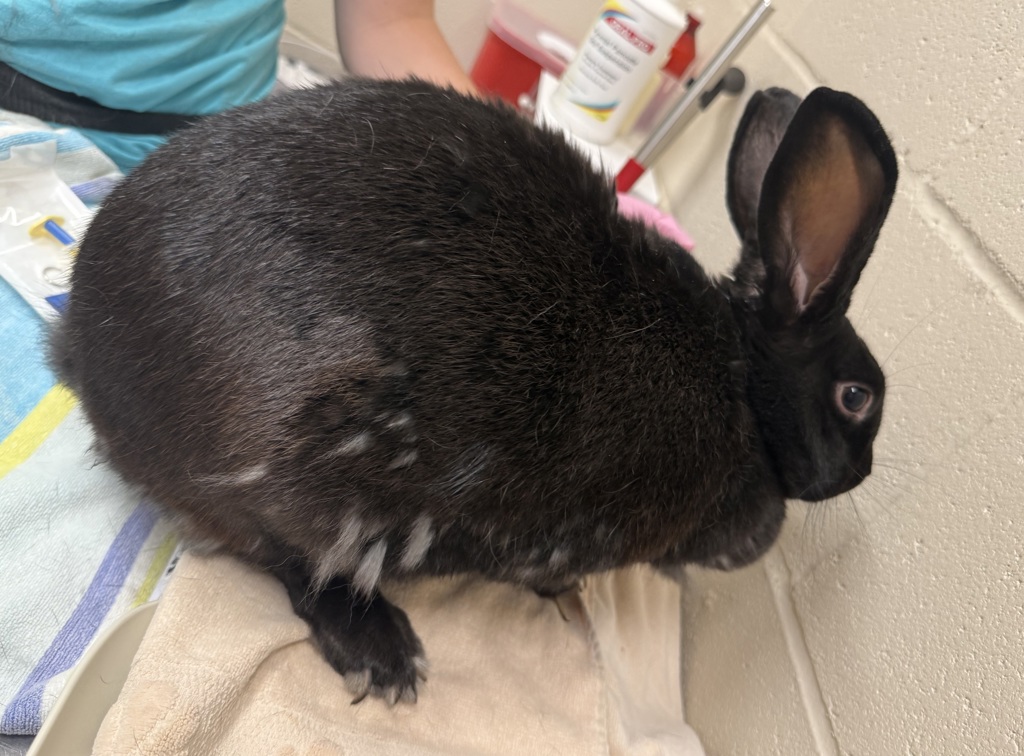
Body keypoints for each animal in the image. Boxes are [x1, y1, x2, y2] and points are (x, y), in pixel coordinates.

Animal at [51, 78, 897, 705]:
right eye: (858, 397)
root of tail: (83, 351)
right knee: (289, 558)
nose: (859, 475)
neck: (742, 385)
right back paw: (381, 649)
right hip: (300, 475)